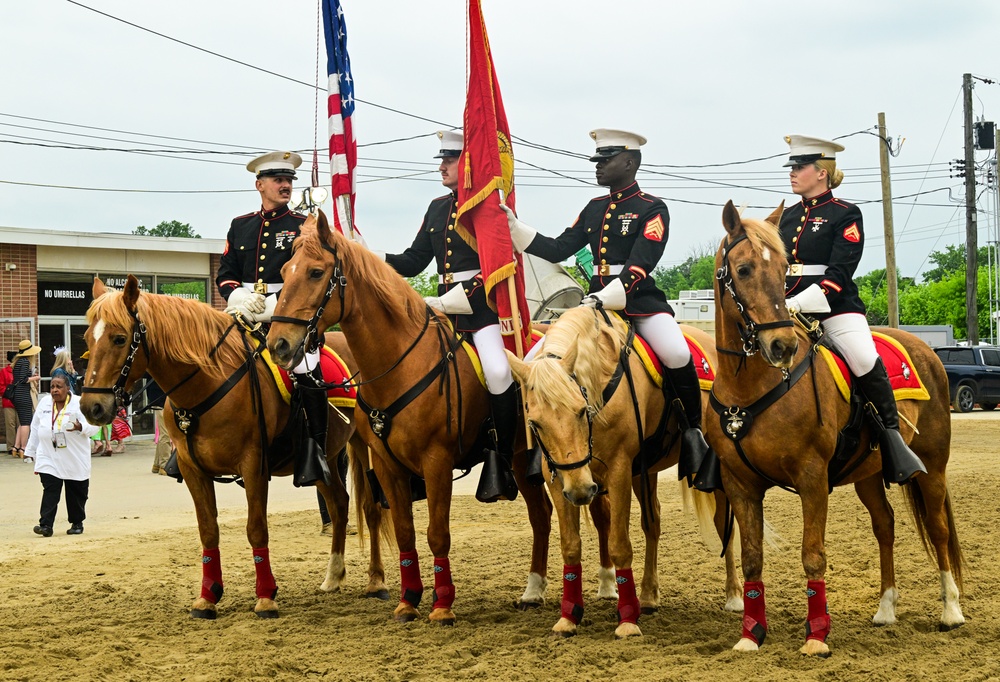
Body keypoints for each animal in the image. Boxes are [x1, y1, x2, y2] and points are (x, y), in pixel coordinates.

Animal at [78, 274, 388, 616]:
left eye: (120, 339)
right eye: (88, 339)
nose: (92, 406)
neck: (208, 382)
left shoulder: (253, 465)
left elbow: (256, 528)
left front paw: (266, 596)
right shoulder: (192, 468)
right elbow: (208, 530)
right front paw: (207, 596)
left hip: (366, 445)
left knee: (370, 507)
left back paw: (376, 581)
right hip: (325, 459)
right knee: (339, 504)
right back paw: (333, 575)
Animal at [266, 211, 632, 620]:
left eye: (315, 272)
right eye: (285, 270)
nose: (278, 344)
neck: (400, 364)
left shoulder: (436, 461)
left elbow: (437, 533)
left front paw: (442, 605)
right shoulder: (387, 465)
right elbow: (405, 531)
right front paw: (408, 600)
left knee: (596, 510)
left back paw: (605, 584)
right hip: (522, 460)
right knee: (541, 514)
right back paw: (533, 589)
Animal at [508, 308, 744, 636]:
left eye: (581, 410)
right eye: (534, 422)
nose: (581, 491)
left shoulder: (618, 472)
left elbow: (619, 544)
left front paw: (628, 619)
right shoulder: (558, 478)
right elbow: (570, 546)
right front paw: (569, 616)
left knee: (725, 525)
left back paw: (734, 596)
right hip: (645, 472)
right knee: (653, 523)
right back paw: (648, 596)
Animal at [708, 201, 964, 652]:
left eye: (784, 269)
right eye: (743, 269)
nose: (782, 346)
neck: (752, 386)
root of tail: (926, 351)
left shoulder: (811, 477)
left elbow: (813, 554)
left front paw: (816, 635)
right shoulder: (740, 484)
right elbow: (752, 557)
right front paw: (751, 634)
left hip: (932, 467)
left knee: (938, 529)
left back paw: (950, 610)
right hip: (869, 474)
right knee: (885, 526)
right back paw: (886, 608)